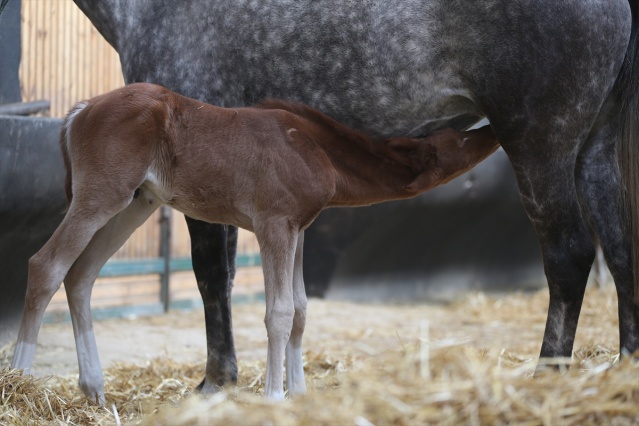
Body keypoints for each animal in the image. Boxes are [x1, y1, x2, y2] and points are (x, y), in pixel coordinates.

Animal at [11, 82, 500, 402]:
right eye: (459, 140)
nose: (493, 130)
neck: (314, 147)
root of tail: (81, 109)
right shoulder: (273, 226)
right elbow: (279, 313)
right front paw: (274, 398)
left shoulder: (298, 230)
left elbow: (301, 310)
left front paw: (299, 395)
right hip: (101, 196)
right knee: (46, 265)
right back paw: (18, 378)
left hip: (135, 203)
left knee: (81, 275)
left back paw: (94, 388)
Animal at [50, 0, 639, 392]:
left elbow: (211, 275)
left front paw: (217, 381)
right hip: (592, 147)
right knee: (620, 249)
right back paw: (624, 365)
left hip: (540, 143)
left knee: (569, 255)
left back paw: (546, 374)